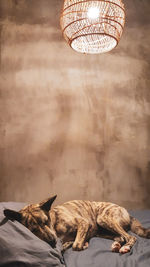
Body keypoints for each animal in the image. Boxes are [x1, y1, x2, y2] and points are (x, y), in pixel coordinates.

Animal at [3, 196, 150, 254]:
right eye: (33, 229)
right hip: (102, 230)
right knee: (121, 237)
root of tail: (127, 212)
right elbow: (69, 244)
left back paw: (125, 247)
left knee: (130, 237)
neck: (54, 223)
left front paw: (81, 244)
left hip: (103, 218)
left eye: (46, 221)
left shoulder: (83, 223)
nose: (52, 241)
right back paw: (117, 245)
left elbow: (76, 245)